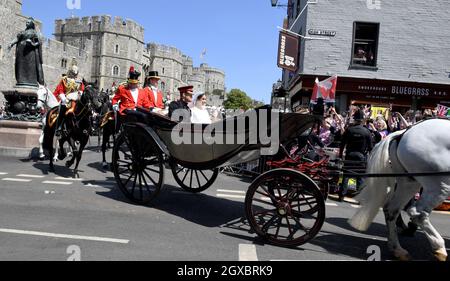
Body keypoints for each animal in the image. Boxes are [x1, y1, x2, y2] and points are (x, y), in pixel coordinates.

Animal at [350, 118, 450, 260]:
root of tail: (404, 132)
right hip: (440, 185)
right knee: (418, 213)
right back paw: (439, 248)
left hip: (409, 183)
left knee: (392, 209)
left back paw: (397, 249)